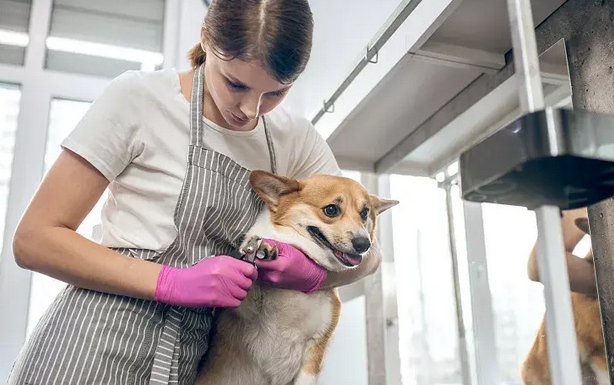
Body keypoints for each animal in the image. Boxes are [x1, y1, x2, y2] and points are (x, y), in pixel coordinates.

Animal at [195, 170, 402, 384]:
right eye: (331, 210)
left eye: (364, 213)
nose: (364, 244)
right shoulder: (244, 311)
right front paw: (261, 248)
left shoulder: (315, 350)